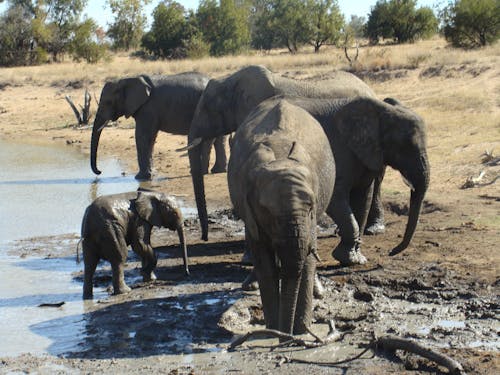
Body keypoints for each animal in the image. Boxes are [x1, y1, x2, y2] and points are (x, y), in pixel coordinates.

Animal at [91, 73, 228, 181]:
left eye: (108, 102)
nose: (100, 172)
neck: (126, 80)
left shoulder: (148, 108)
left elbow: (142, 137)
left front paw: (140, 178)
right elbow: (150, 138)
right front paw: (150, 174)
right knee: (219, 138)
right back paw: (217, 171)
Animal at [229, 97, 334, 334]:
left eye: (311, 207)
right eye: (268, 212)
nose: (287, 334)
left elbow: (305, 260)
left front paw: (302, 330)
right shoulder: (251, 209)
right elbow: (265, 262)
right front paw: (273, 329)